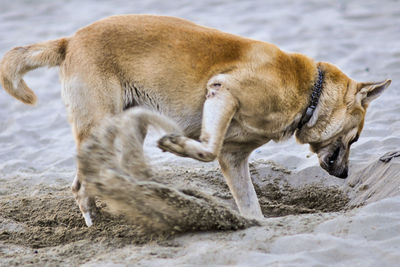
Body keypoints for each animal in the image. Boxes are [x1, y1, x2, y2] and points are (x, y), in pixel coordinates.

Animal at [0, 15, 390, 228]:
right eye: (355, 139)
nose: (345, 175)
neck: (309, 93)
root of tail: (69, 41)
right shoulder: (221, 91)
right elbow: (207, 147)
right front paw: (176, 144)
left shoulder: (234, 158)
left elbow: (251, 205)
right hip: (100, 122)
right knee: (83, 182)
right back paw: (98, 216)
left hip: (132, 120)